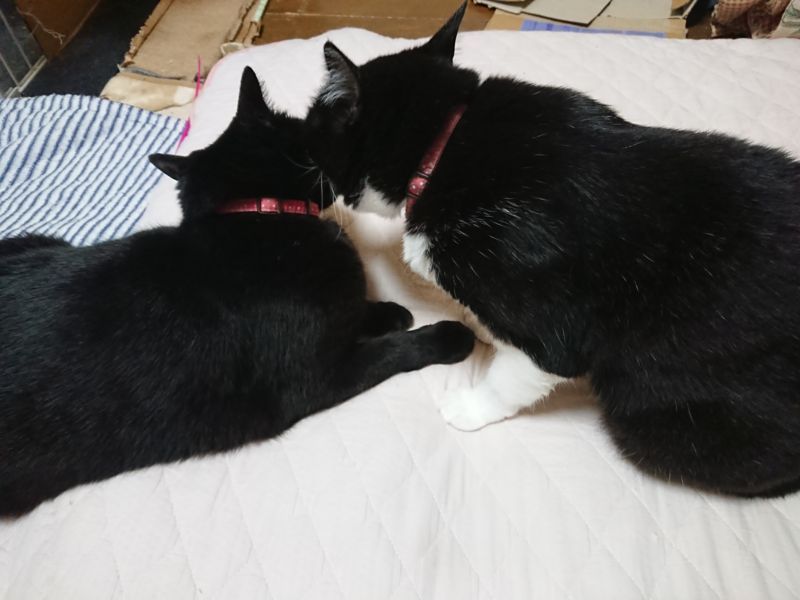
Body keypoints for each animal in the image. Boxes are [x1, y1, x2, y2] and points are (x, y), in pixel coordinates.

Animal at [0, 67, 475, 517]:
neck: (257, 215)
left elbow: (358, 309)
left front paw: (390, 311)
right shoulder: (321, 376)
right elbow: (391, 352)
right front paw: (444, 336)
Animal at [302, 3, 800, 497]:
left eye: (314, 125)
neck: (445, 148)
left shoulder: (552, 317)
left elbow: (527, 368)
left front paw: (469, 406)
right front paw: (485, 328)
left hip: (657, 418)